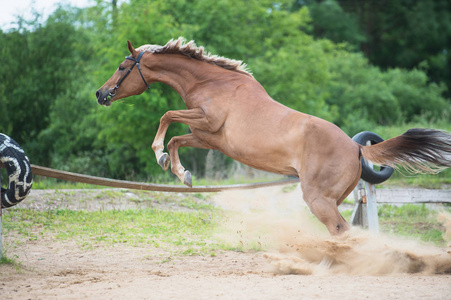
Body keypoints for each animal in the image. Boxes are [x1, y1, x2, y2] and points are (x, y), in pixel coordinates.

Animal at [97, 37, 451, 234]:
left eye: (121, 67)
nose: (101, 94)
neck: (212, 83)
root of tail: (355, 148)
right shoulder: (206, 135)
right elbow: (175, 139)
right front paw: (182, 173)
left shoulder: (207, 121)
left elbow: (166, 117)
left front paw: (160, 154)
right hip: (332, 198)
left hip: (318, 199)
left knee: (340, 229)